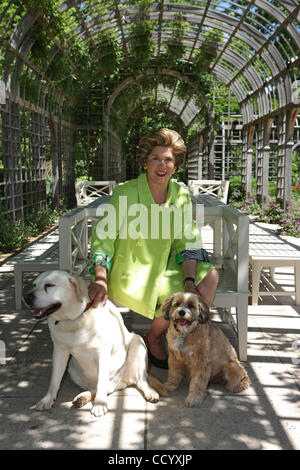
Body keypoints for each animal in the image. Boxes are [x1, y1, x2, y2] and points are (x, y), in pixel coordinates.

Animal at [24, 270, 166, 416]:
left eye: (49, 285)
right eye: (34, 285)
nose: (26, 297)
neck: (73, 320)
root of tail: (122, 381)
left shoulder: (102, 353)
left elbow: (101, 382)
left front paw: (100, 405)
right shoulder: (59, 351)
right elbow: (54, 380)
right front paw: (47, 399)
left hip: (137, 343)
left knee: (140, 381)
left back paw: (150, 392)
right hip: (73, 368)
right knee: (101, 389)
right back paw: (82, 397)